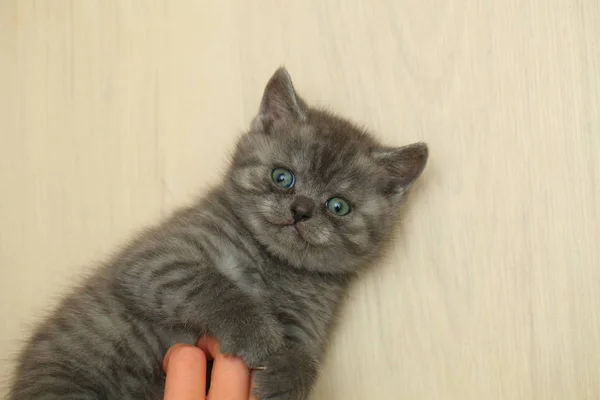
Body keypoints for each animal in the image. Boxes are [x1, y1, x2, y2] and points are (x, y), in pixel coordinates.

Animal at [5, 67, 426, 398]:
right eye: (282, 177)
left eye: (338, 206)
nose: (301, 210)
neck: (271, 265)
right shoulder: (157, 257)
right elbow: (209, 285)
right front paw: (255, 331)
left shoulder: (309, 319)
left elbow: (306, 356)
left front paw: (285, 382)